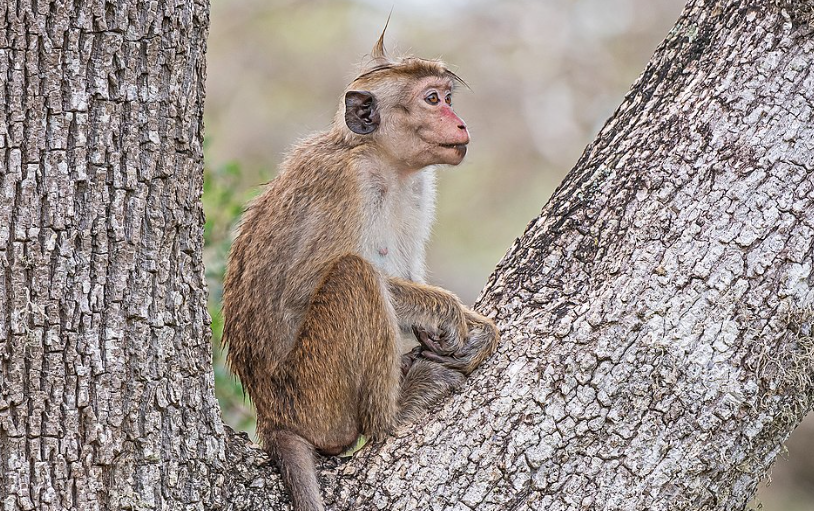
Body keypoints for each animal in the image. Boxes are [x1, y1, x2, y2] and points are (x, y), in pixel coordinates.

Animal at [223, 31, 500, 511]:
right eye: (431, 99)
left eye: (447, 98)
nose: (461, 123)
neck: (383, 161)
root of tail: (272, 416)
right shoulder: (343, 181)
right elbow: (299, 290)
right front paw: (447, 312)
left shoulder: (419, 188)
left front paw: (472, 329)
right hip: (315, 395)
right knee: (354, 275)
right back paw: (393, 413)